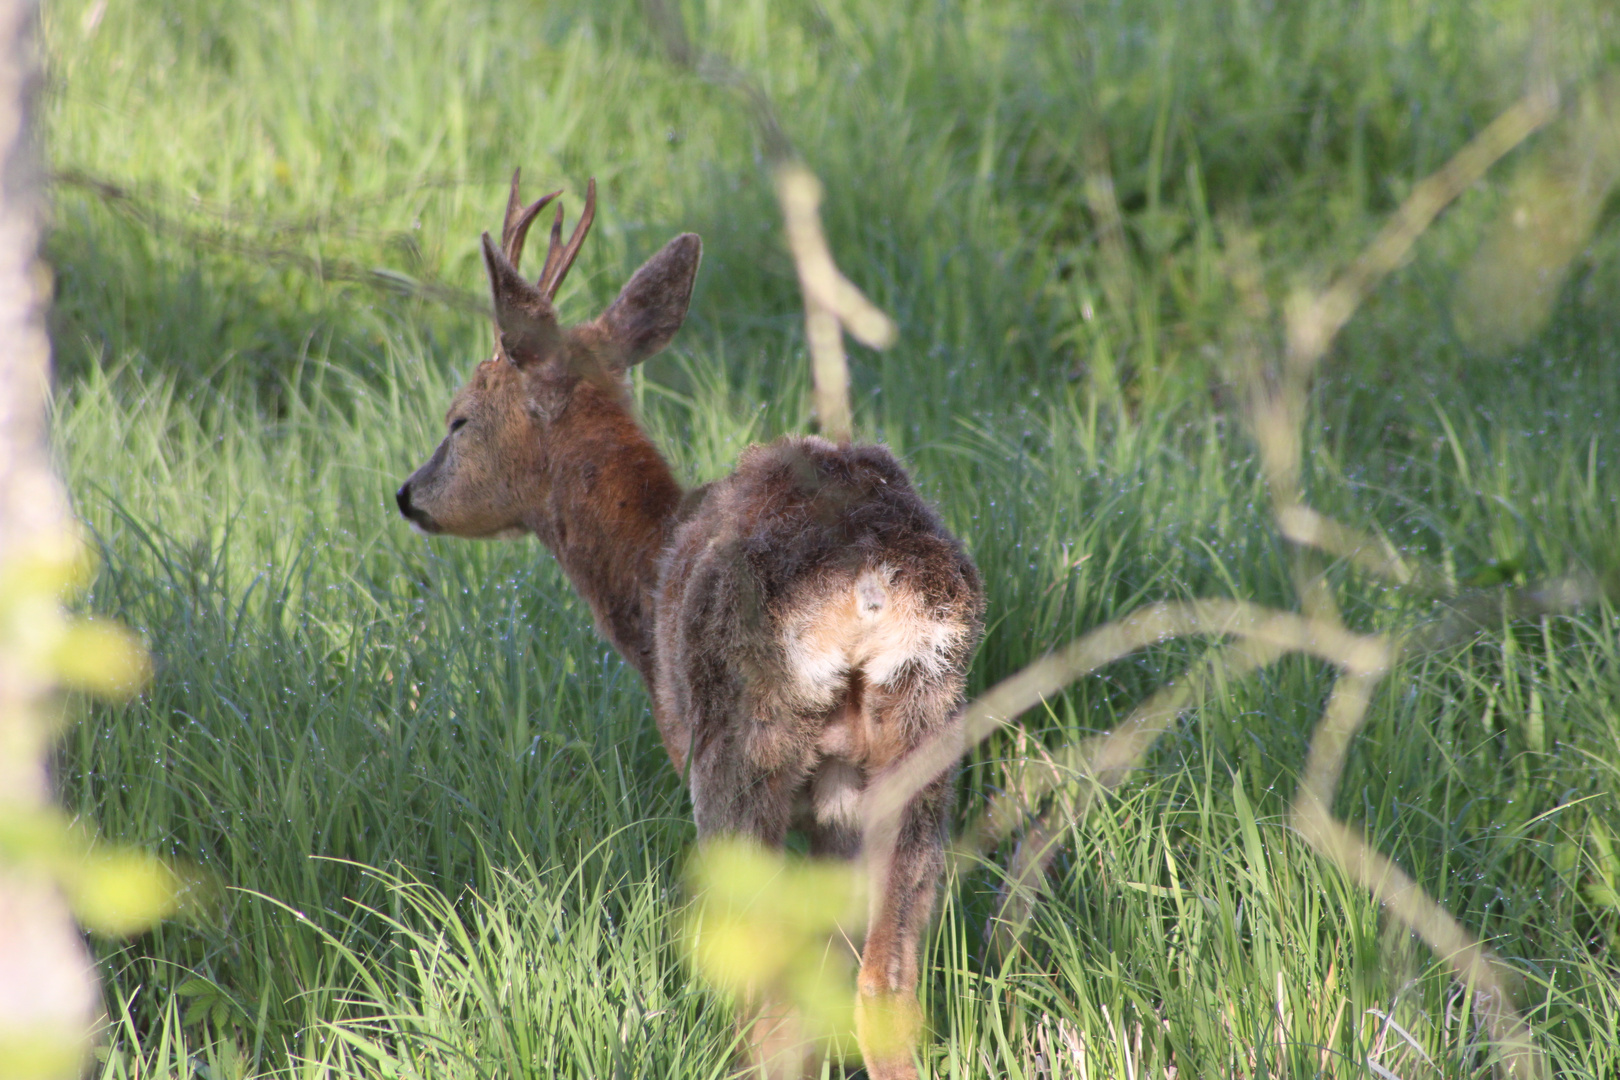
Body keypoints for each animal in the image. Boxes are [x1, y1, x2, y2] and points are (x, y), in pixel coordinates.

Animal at [398, 173, 978, 1075]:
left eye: (458, 418)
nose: (410, 494)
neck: (649, 563)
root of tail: (869, 585)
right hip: (923, 734)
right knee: (884, 986)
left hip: (740, 744)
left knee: (773, 998)